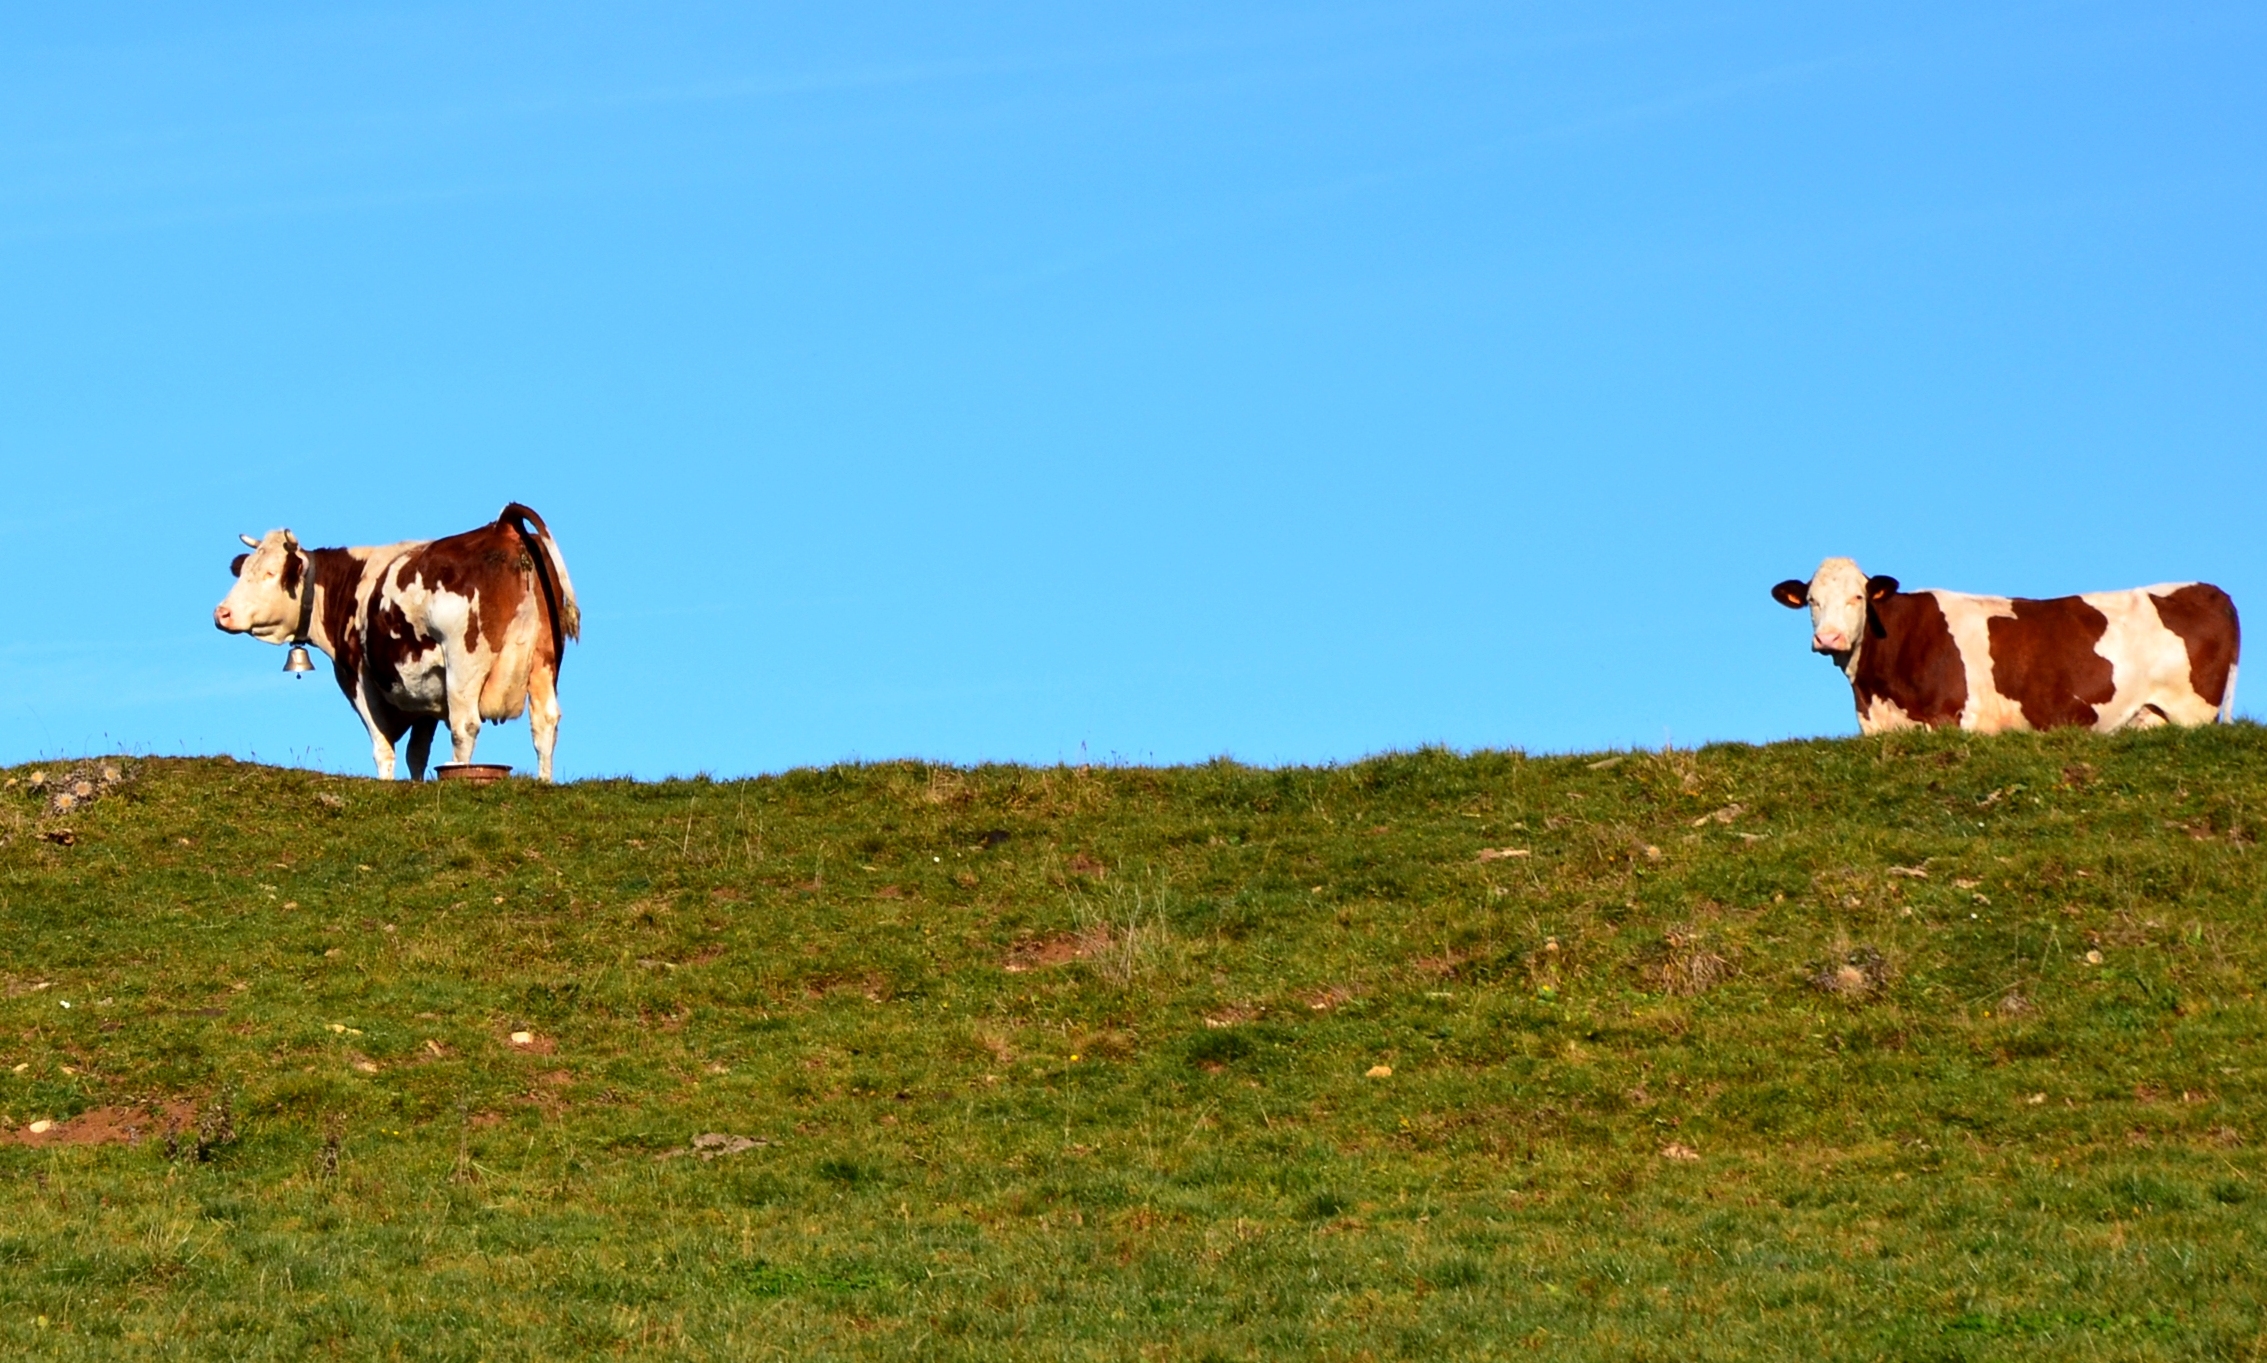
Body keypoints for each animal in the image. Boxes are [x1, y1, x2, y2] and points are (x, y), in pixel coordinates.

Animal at [214, 503, 581, 781]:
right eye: (244, 570)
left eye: (270, 574)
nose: (222, 613)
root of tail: (502, 524)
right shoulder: (425, 694)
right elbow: (416, 753)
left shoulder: (357, 677)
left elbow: (383, 747)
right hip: (544, 660)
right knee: (545, 721)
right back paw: (543, 781)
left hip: (464, 664)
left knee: (465, 727)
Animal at [1771, 558, 2238, 735]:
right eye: (1811, 600)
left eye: (1858, 597)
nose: (1828, 638)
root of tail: (2211, 590)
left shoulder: (1959, 719)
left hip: (2192, 711)